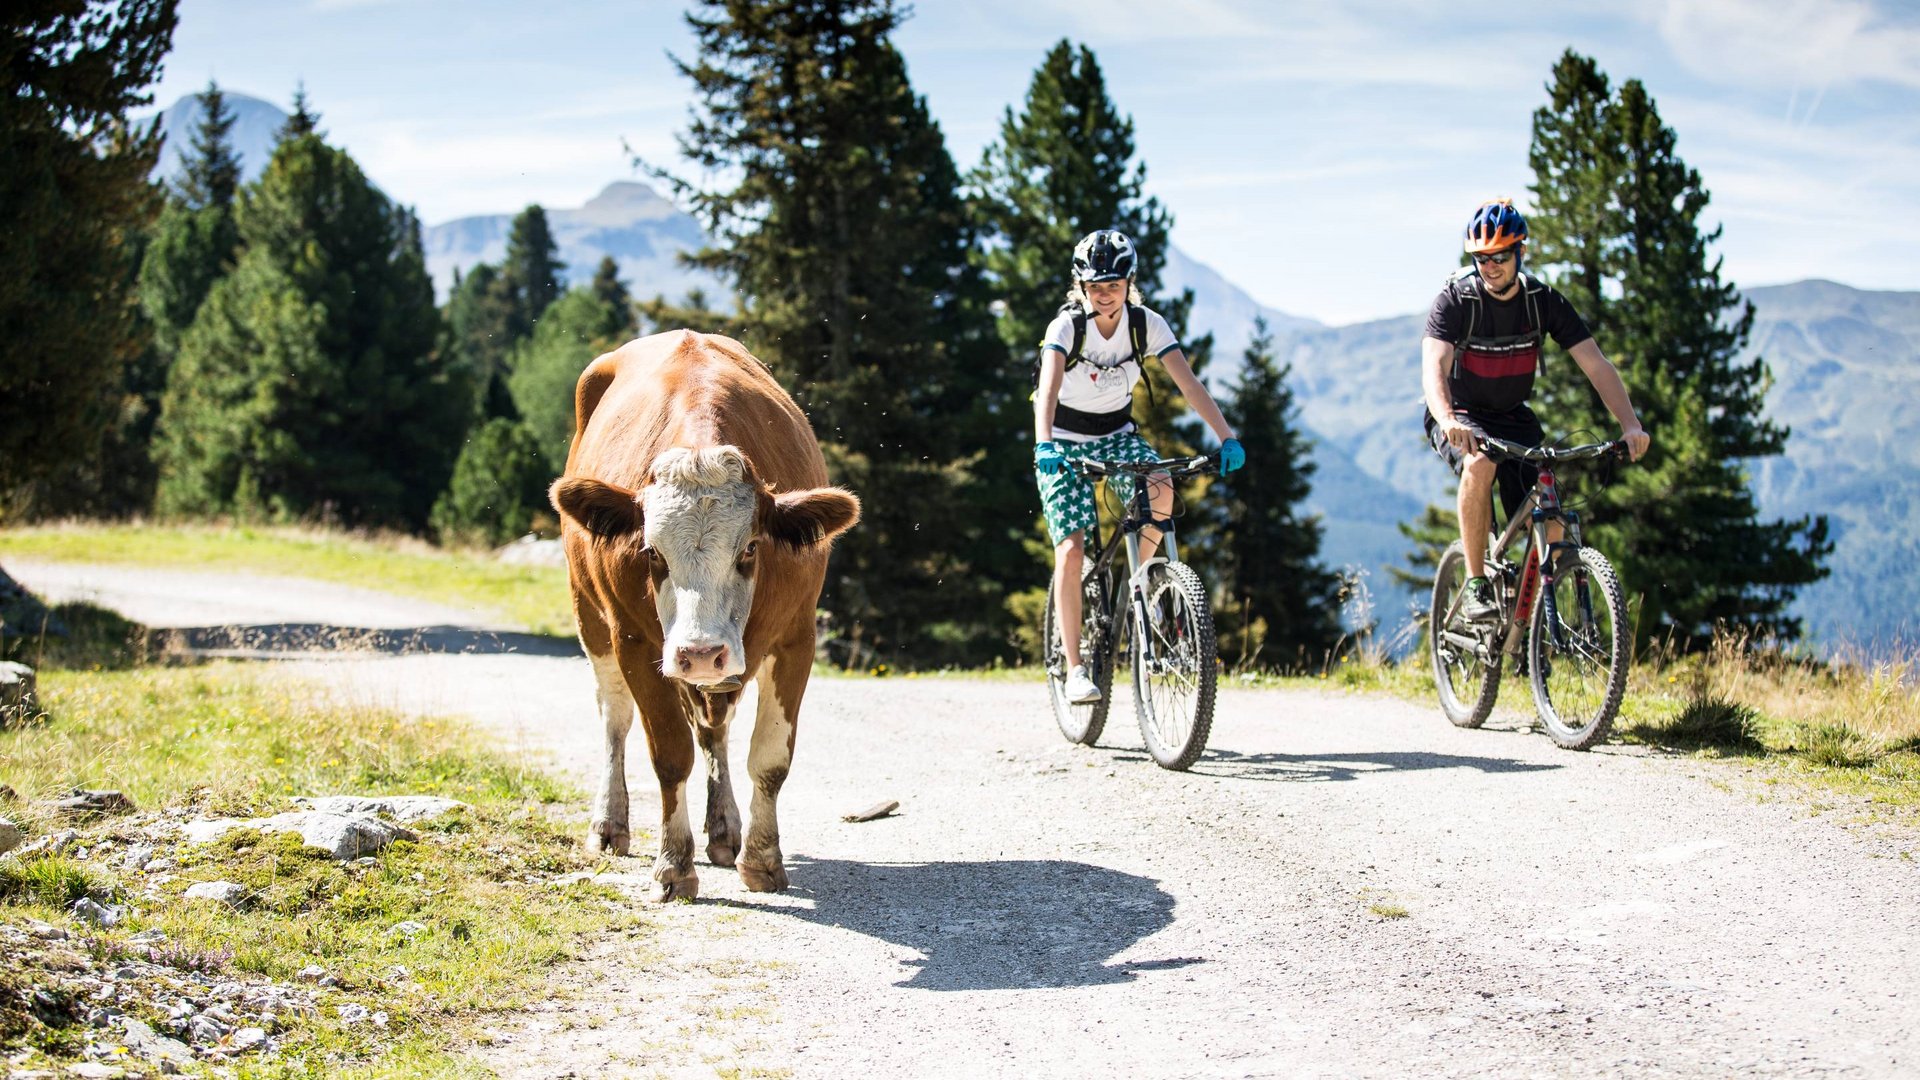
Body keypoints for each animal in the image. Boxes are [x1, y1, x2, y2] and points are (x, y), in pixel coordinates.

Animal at [549, 328, 864, 899]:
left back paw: (723, 828)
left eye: (751, 548)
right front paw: (673, 864)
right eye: (651, 552)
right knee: (615, 716)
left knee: (713, 727)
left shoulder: (796, 637)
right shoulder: (635, 641)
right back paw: (610, 822)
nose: (699, 653)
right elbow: (670, 755)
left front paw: (762, 860)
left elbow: (770, 758)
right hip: (589, 613)